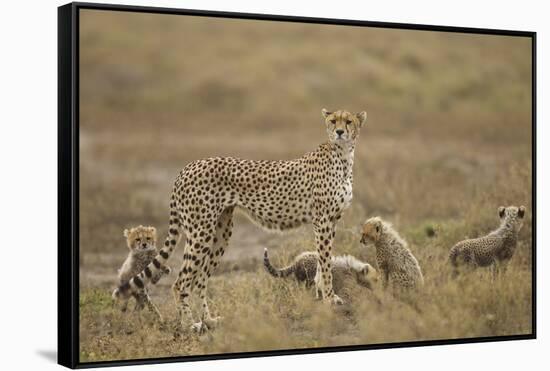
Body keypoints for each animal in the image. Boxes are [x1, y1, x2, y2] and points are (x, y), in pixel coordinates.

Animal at [114, 108, 368, 332]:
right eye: (333, 121)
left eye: (348, 121)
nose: (339, 132)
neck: (343, 155)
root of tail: (187, 167)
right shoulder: (322, 220)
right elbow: (325, 263)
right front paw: (329, 299)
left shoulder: (330, 221)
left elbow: (324, 261)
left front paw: (322, 295)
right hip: (200, 232)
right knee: (181, 282)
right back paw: (189, 325)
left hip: (221, 231)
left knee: (199, 279)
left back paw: (209, 320)